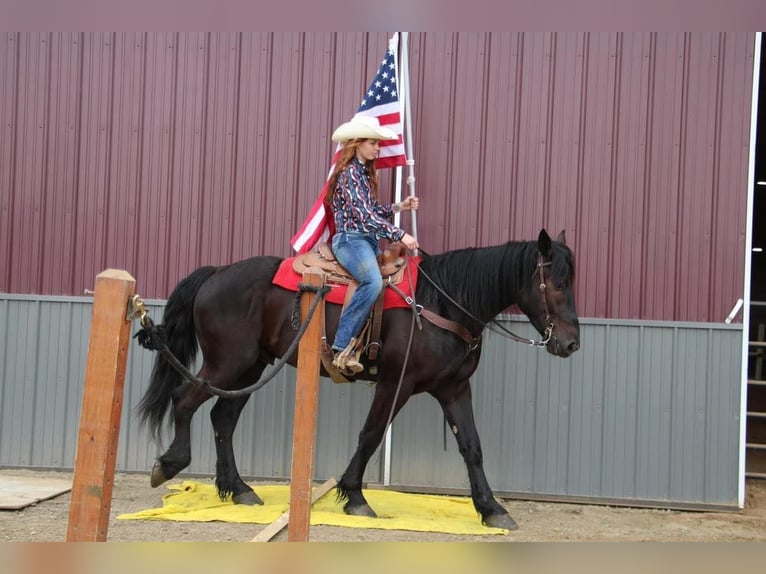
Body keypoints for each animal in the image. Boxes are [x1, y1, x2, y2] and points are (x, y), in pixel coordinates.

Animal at [140, 228, 584, 532]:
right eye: (559, 283)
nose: (571, 343)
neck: (442, 304)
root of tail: (217, 273)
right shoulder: (395, 384)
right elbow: (370, 435)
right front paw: (354, 496)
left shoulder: (454, 388)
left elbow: (471, 447)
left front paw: (491, 509)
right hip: (229, 363)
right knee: (184, 400)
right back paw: (170, 465)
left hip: (250, 367)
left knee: (223, 419)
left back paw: (238, 489)